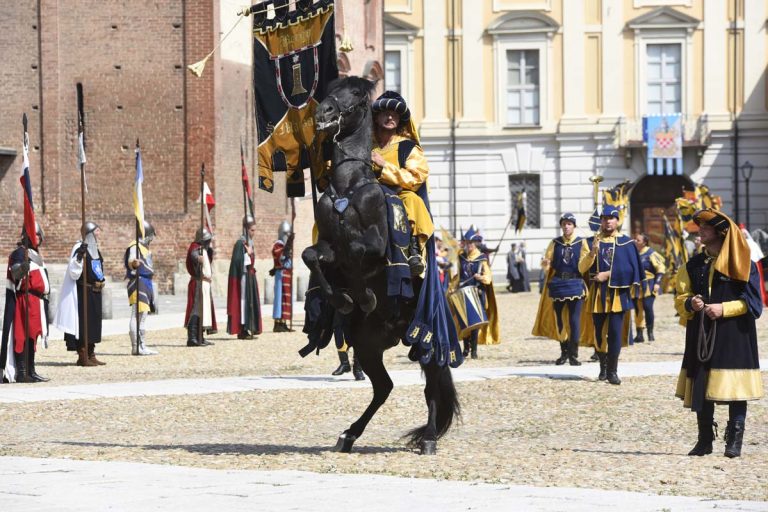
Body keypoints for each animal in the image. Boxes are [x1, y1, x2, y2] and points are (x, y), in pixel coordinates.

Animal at [302, 77, 460, 456]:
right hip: (368, 345)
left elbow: (359, 251)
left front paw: (361, 296)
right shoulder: (326, 247)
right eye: (332, 87)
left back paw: (429, 439)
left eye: (358, 96)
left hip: (426, 344)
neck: (349, 188)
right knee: (383, 387)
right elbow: (311, 256)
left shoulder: (373, 247)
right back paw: (349, 434)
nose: (323, 112)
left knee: (431, 389)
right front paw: (342, 299)